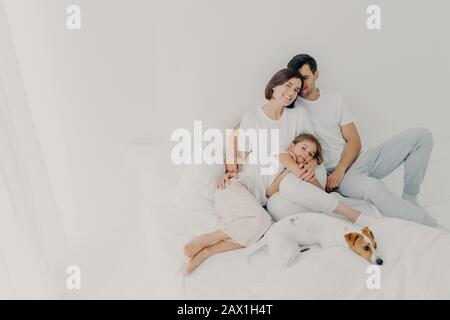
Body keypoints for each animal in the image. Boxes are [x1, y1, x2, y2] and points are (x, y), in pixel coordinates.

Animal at [246, 212, 384, 268]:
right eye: (366, 247)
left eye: (376, 245)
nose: (381, 261)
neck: (343, 231)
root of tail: (268, 234)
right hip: (291, 249)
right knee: (288, 262)